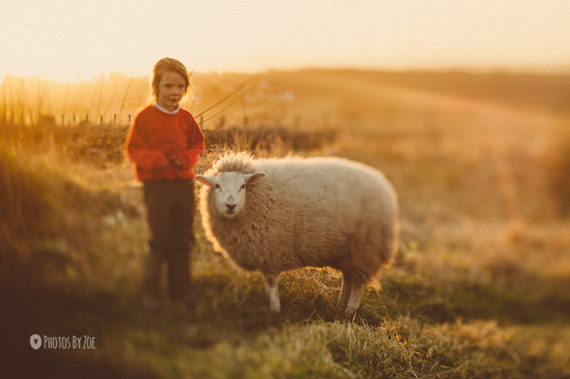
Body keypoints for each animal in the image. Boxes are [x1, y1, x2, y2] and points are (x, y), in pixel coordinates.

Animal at [197, 152, 398, 314]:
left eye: (243, 186)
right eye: (217, 186)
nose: (230, 205)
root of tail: (384, 185)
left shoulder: (270, 251)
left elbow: (271, 283)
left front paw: (274, 310)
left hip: (364, 248)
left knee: (357, 283)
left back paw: (350, 310)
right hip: (347, 251)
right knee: (348, 278)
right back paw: (340, 306)